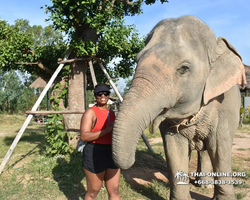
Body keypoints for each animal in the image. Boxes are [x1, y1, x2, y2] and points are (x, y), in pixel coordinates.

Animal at [112, 15, 246, 200]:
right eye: (137, 60)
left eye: (183, 68)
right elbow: (174, 148)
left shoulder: (226, 105)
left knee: (208, 149)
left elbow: (219, 148)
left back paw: (204, 185)